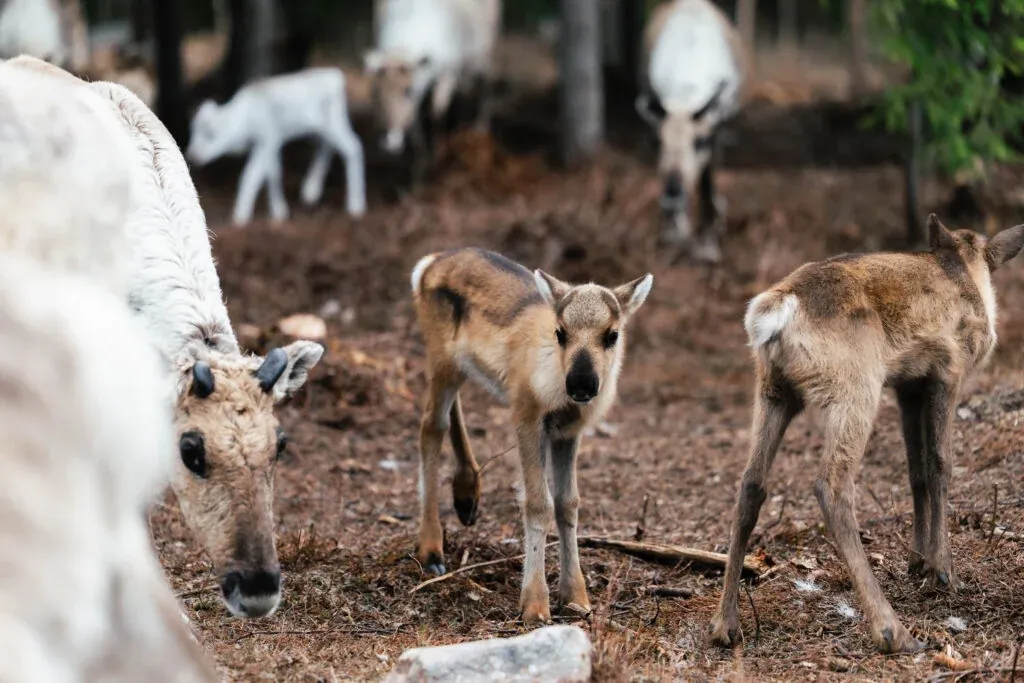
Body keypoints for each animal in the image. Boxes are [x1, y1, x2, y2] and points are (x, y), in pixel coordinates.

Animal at [409, 247, 653, 624]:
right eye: (560, 332)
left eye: (612, 334)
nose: (581, 384)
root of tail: (427, 264)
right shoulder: (526, 417)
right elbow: (539, 502)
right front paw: (535, 604)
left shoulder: (568, 432)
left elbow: (568, 502)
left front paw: (576, 597)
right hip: (441, 359)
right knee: (430, 426)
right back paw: (432, 550)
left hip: (458, 367)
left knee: (450, 411)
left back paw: (467, 495)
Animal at [635, 0, 752, 264]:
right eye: (656, 142)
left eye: (700, 141)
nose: (672, 193)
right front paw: (675, 231)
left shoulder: (715, 129)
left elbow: (708, 184)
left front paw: (708, 246)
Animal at [709, 215, 1024, 653]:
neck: (966, 270)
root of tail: (774, 313)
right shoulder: (948, 370)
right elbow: (941, 465)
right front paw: (943, 569)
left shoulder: (908, 384)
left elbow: (916, 471)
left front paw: (917, 561)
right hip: (855, 387)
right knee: (832, 486)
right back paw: (893, 629)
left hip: (773, 390)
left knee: (750, 484)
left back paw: (725, 623)